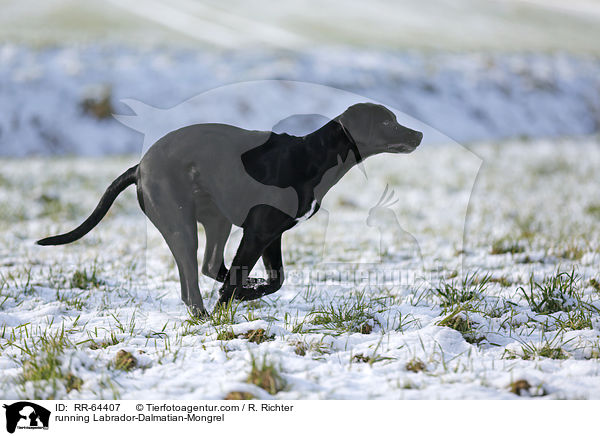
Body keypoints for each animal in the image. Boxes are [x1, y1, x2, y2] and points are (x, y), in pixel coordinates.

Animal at [37, 104, 422, 316]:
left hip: (216, 219)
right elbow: (247, 279)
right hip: (181, 225)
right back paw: (209, 314)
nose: (418, 135)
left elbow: (276, 280)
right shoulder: (258, 230)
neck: (313, 156)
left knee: (209, 267)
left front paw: (247, 290)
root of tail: (138, 168)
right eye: (387, 122)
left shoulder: (271, 234)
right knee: (192, 287)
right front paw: (233, 299)